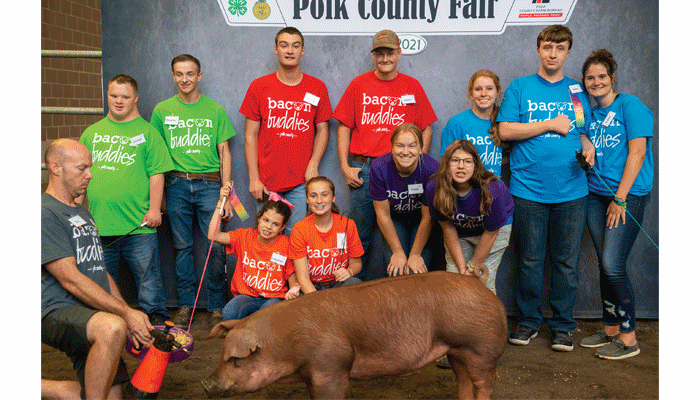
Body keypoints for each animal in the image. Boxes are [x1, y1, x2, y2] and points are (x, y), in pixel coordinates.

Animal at [200, 270, 506, 398]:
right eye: (222, 355)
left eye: (235, 360)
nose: (205, 384)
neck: (285, 343)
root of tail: (486, 291)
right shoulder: (312, 374)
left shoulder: (332, 366)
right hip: (456, 352)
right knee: (463, 380)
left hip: (481, 347)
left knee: (484, 382)